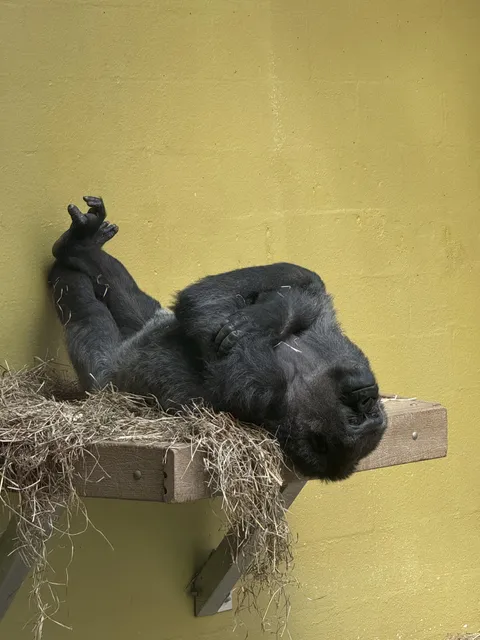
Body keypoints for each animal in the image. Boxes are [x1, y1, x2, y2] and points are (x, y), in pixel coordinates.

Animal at [48, 196, 387, 481]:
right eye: (361, 411)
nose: (369, 399)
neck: (297, 380)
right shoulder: (333, 336)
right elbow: (309, 291)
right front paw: (269, 313)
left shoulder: (260, 387)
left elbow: (202, 304)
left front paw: (257, 318)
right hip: (150, 317)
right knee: (126, 296)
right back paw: (83, 246)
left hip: (103, 380)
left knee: (84, 312)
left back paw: (73, 256)